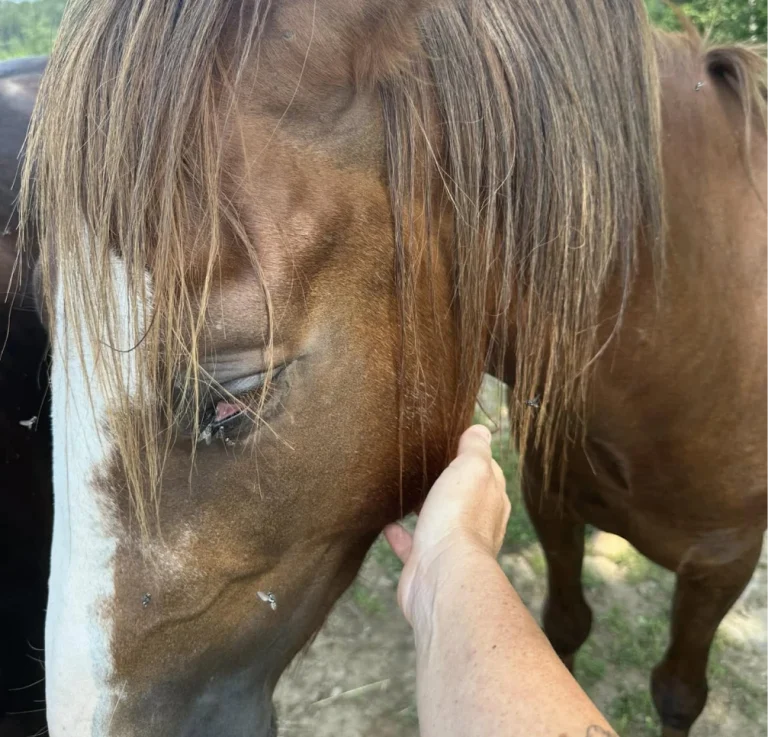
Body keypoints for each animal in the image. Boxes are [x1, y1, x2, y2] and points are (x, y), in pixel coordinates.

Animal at [17, 1, 767, 736]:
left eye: (232, 398)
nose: (83, 724)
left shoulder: (722, 564)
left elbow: (677, 693)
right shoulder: (551, 502)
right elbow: (564, 627)